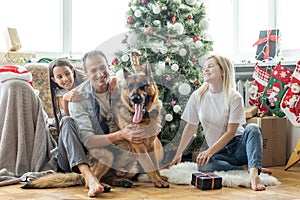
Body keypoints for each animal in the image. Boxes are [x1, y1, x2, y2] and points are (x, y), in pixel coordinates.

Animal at [22, 63, 169, 191]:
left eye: (143, 86)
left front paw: (160, 178)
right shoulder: (138, 146)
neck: (145, 117)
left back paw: (121, 182)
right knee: (89, 180)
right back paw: (100, 186)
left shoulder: (150, 145)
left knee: (108, 177)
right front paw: (158, 181)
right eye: (129, 87)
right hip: (107, 155)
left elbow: (155, 165)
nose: (134, 99)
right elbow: (149, 164)